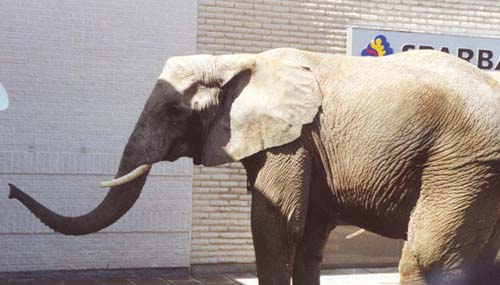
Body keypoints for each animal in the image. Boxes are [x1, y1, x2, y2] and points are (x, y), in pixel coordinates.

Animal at [6, 47, 500, 282]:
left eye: (173, 111)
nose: (9, 190)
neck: (234, 60)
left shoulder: (292, 139)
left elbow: (273, 225)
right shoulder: (309, 146)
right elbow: (308, 235)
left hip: (463, 164)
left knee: (429, 257)